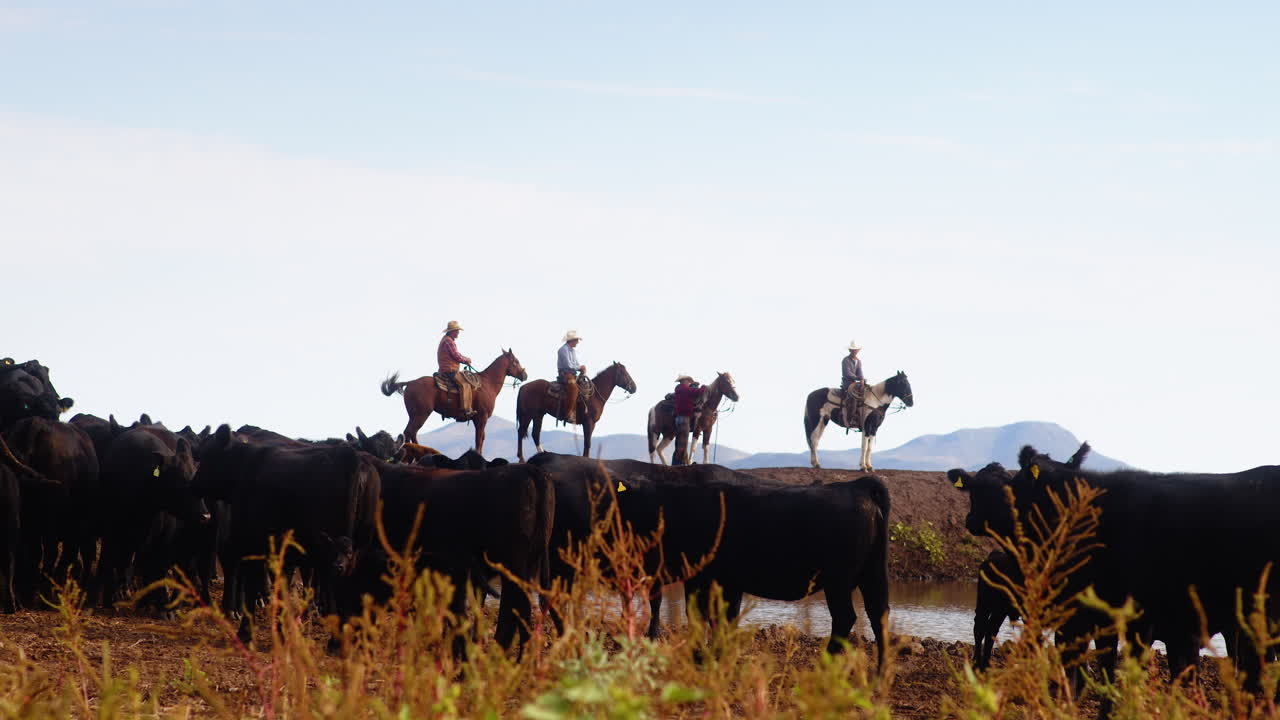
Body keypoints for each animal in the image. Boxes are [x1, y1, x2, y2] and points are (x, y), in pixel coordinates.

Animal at [380, 349, 527, 455]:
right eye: (516, 361)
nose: (525, 375)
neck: (487, 383)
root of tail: (410, 383)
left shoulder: (477, 419)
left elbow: (481, 438)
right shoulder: (482, 417)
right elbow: (479, 439)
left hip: (414, 415)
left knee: (411, 433)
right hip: (421, 414)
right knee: (409, 432)